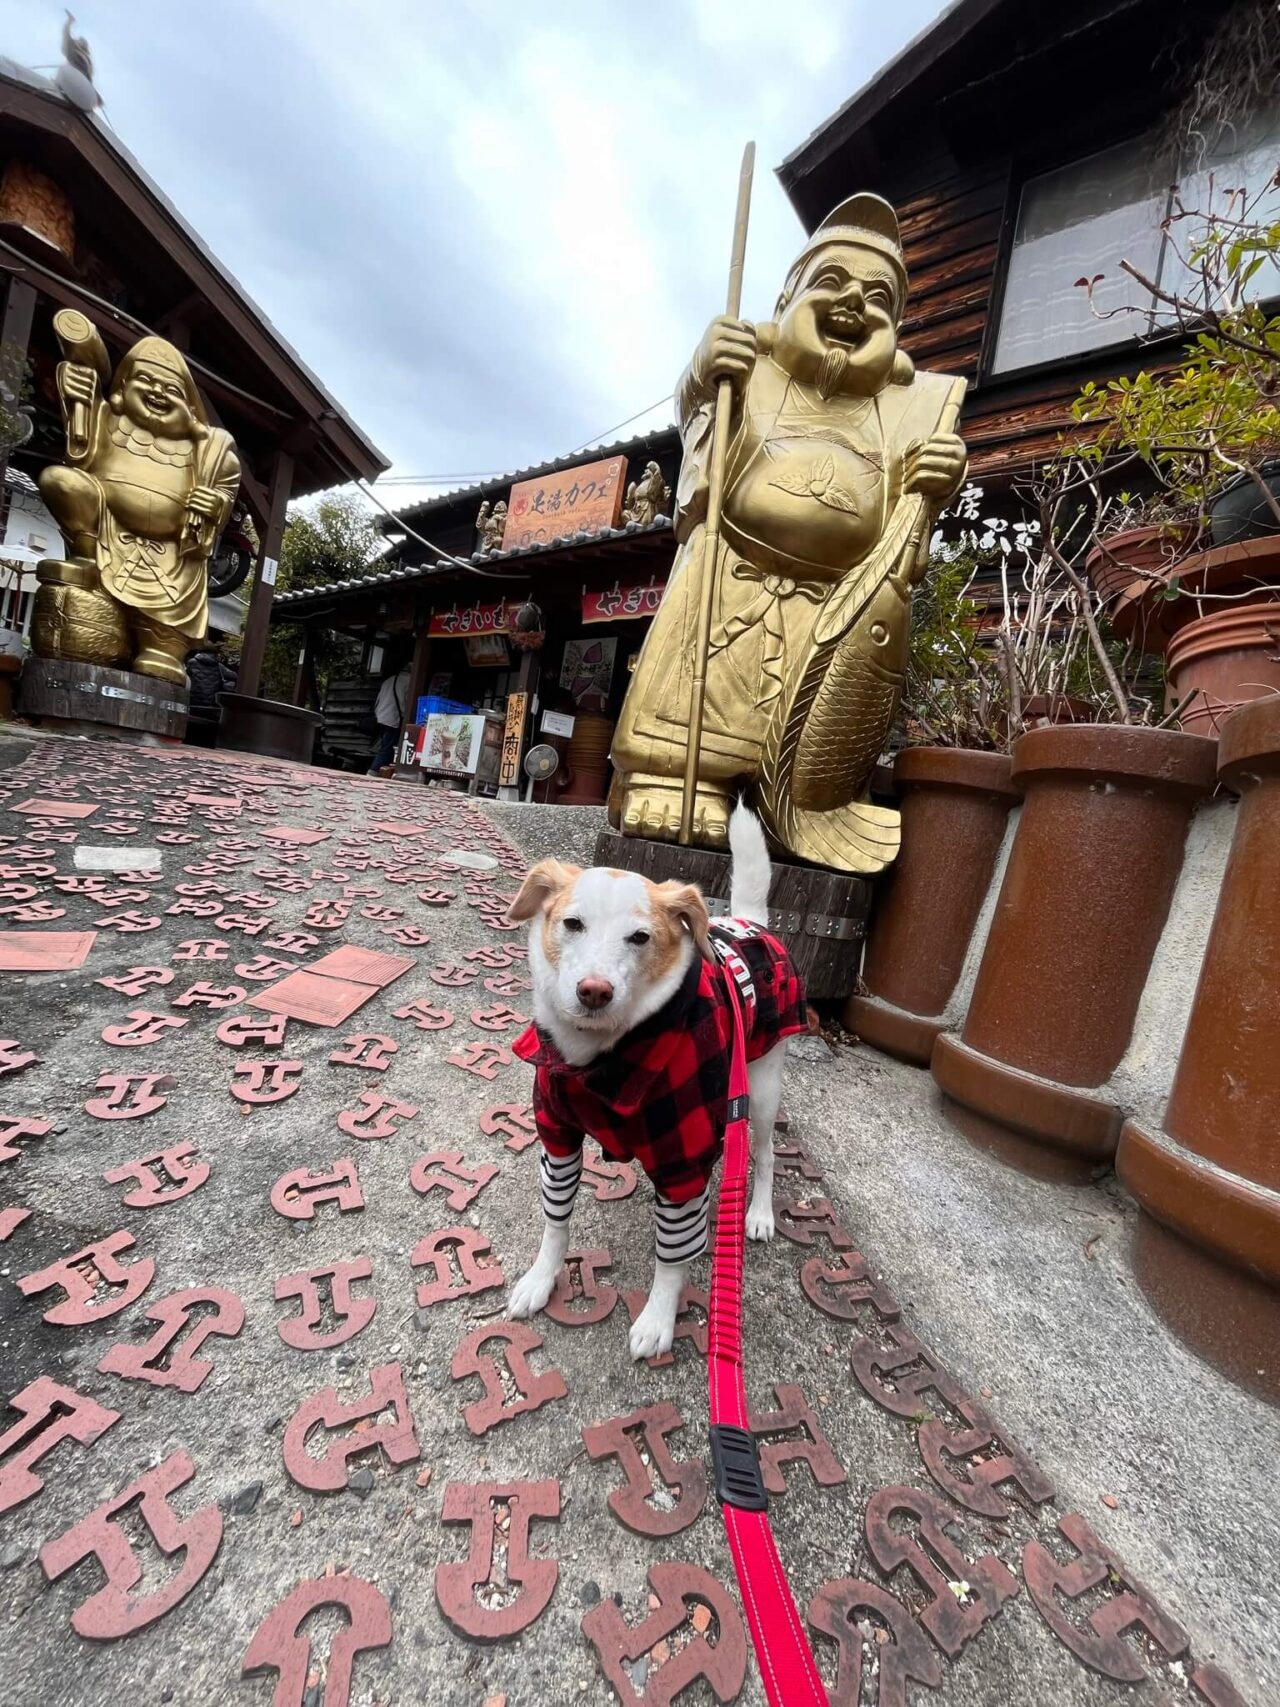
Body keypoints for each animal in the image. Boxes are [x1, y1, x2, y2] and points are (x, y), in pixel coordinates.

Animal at [505, 802, 805, 1358]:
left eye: (640, 938)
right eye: (572, 923)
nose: (594, 990)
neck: (600, 1057)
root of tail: (749, 921)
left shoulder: (681, 1159)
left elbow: (673, 1256)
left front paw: (659, 1318)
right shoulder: (557, 1137)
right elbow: (556, 1222)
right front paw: (540, 1278)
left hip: (761, 1090)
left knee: (765, 1154)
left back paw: (758, 1214)